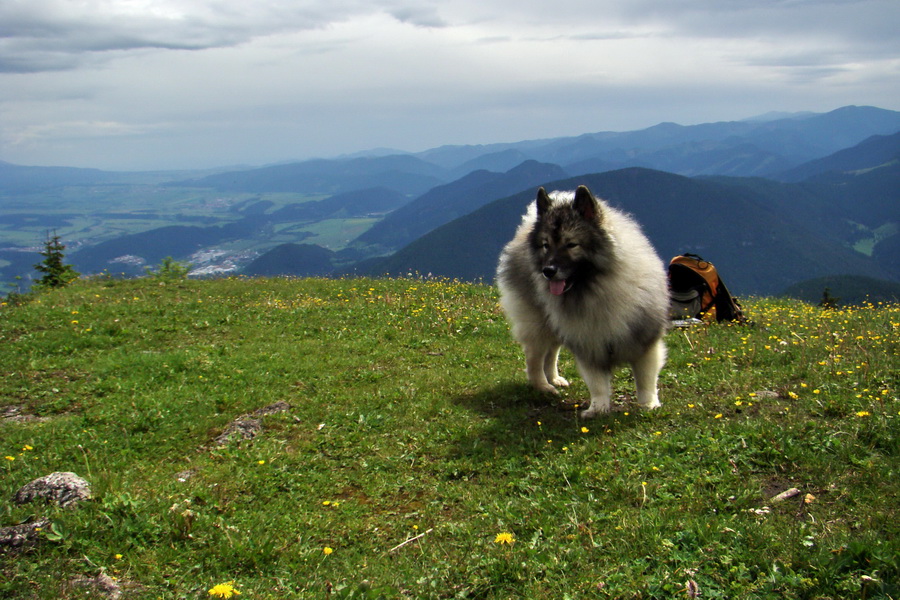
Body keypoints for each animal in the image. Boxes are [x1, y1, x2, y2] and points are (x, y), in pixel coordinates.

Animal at [492, 186, 668, 418]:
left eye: (571, 244)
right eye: (546, 245)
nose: (548, 271)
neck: (597, 292)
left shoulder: (644, 341)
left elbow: (646, 379)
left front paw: (648, 404)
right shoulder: (589, 344)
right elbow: (597, 383)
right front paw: (598, 408)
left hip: (555, 324)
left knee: (551, 353)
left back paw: (554, 379)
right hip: (539, 323)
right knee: (534, 357)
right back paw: (543, 386)